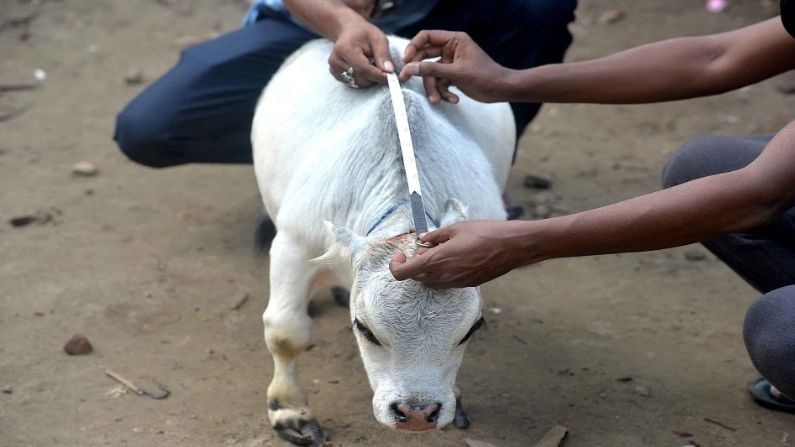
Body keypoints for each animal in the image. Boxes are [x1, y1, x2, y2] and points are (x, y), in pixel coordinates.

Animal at [253, 36, 516, 446]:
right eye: (364, 329)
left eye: (472, 329)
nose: (417, 412)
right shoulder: (294, 246)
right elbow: (285, 333)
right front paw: (290, 411)